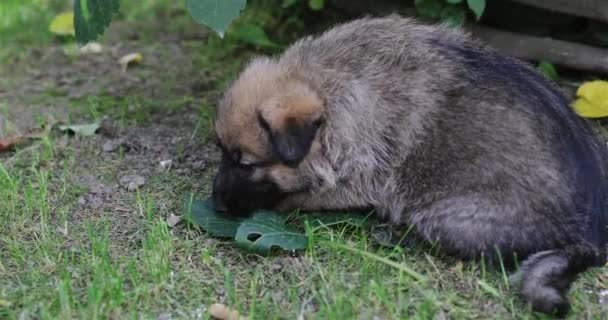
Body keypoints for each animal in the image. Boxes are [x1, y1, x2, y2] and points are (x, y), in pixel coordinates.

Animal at [210, 15, 608, 316]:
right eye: (222, 152)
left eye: (245, 164)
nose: (215, 205)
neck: (332, 88)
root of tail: (591, 236)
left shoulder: (359, 177)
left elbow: (299, 196)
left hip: (444, 216)